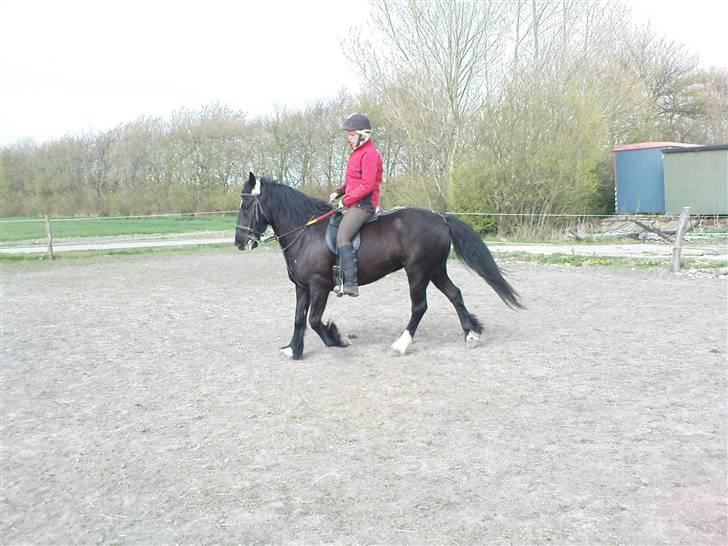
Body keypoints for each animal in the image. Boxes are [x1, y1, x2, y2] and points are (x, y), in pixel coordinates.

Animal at [234, 172, 522, 360]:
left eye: (247, 204)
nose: (239, 242)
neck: (305, 232)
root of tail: (439, 218)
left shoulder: (319, 286)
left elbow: (314, 320)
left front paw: (336, 339)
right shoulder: (302, 287)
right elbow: (297, 319)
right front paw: (293, 349)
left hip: (418, 271)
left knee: (420, 306)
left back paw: (402, 344)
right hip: (435, 269)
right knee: (455, 295)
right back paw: (471, 334)